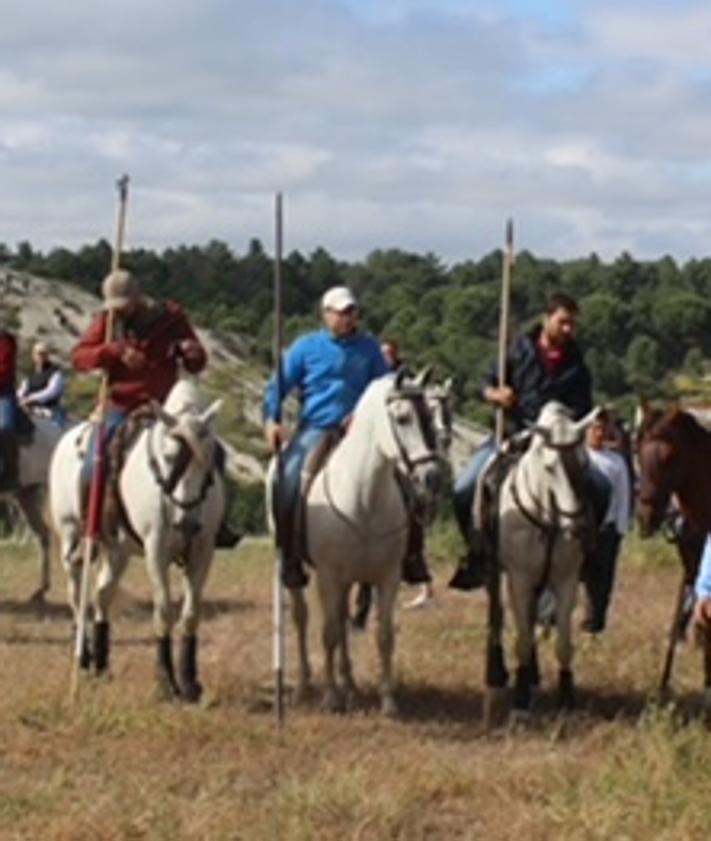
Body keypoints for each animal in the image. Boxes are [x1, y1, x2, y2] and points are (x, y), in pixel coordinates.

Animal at [49, 380, 224, 704]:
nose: (187, 523)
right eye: (169, 456)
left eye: (208, 457)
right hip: (72, 539)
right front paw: (165, 682)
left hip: (117, 552)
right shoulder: (156, 550)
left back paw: (101, 665)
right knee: (76, 595)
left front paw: (190, 682)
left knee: (102, 595)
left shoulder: (203, 551)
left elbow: (191, 612)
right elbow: (164, 608)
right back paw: (84, 659)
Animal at [282, 370, 440, 716]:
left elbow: (384, 635)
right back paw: (304, 686)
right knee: (302, 618)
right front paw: (330, 697)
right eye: (403, 418)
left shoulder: (388, 576)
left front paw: (388, 700)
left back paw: (349, 684)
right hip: (301, 575)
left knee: (342, 620)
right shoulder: (328, 575)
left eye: (429, 417)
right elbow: (327, 632)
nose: (430, 476)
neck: (362, 494)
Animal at [496, 400, 600, 716]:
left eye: (584, 461)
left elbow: (563, 642)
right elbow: (521, 639)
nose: (578, 528)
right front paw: (519, 699)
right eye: (550, 466)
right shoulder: (518, 580)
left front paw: (566, 696)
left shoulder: (566, 580)